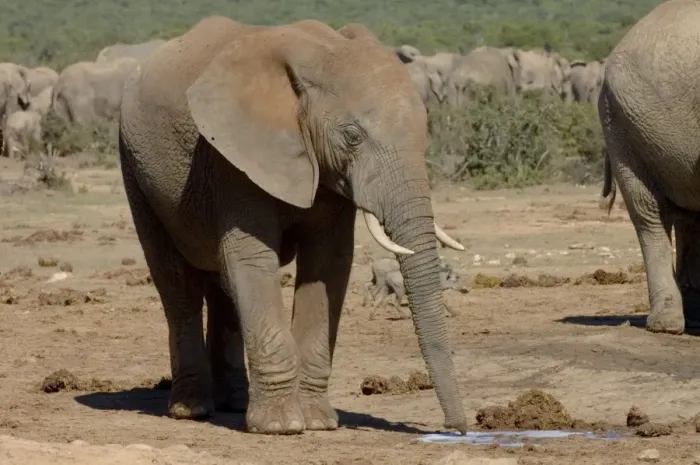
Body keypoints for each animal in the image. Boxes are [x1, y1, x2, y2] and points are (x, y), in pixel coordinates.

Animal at [117, 16, 468, 435]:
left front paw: (317, 422)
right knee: (177, 284)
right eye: (352, 136)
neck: (317, 55)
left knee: (222, 285)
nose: (458, 429)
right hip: (135, 169)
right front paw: (280, 427)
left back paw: (234, 404)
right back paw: (193, 409)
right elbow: (253, 260)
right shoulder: (231, 159)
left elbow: (328, 264)